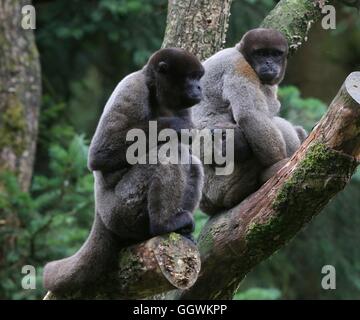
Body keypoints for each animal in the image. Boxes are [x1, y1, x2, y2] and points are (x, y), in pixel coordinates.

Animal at [43, 48, 204, 296]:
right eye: (190, 78)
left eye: (198, 78)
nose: (199, 88)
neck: (159, 95)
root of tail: (100, 213)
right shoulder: (132, 88)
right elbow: (99, 155)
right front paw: (175, 126)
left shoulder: (184, 106)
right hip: (121, 210)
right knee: (168, 151)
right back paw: (163, 225)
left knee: (191, 162)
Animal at [191, 28, 306, 215]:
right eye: (260, 54)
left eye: (275, 54)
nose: (268, 62)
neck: (240, 52)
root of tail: (207, 205)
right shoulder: (238, 66)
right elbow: (249, 114)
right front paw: (277, 165)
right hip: (220, 186)